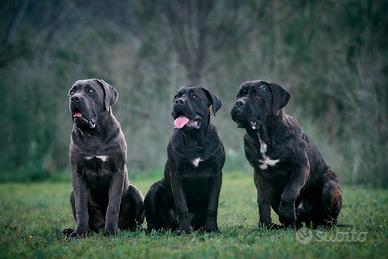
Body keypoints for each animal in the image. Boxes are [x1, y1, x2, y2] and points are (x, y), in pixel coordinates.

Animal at [64, 78, 145, 239]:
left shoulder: (117, 171)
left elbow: (113, 205)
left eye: (90, 91)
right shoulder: (78, 173)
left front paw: (111, 231)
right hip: (71, 194)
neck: (93, 134)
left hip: (135, 192)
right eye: (72, 91)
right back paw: (73, 230)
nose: (74, 98)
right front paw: (80, 232)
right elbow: (81, 207)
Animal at [145, 86, 224, 235]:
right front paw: (184, 230)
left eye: (194, 96)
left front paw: (212, 229)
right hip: (155, 188)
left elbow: (213, 206)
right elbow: (181, 205)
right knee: (153, 222)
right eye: (176, 97)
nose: (178, 102)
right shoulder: (177, 175)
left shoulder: (216, 174)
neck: (194, 140)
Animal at [232, 80, 342, 229]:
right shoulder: (260, 175)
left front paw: (286, 215)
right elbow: (262, 200)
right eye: (239, 95)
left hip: (329, 185)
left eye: (258, 96)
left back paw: (321, 226)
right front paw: (265, 225)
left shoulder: (301, 168)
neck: (264, 137)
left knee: (330, 219)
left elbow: (289, 193)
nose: (238, 103)